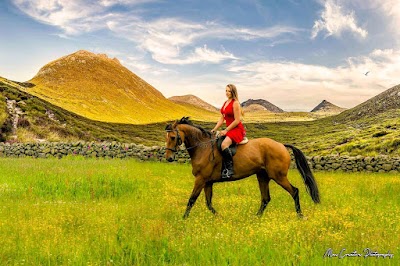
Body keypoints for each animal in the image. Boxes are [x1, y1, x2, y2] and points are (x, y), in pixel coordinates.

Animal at [164, 117, 320, 219]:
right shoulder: (207, 182)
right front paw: (219, 217)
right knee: (265, 198)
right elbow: (208, 203)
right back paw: (256, 217)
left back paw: (300, 216)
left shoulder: (200, 180)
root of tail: (281, 145)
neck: (203, 147)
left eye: (172, 137)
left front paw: (183, 219)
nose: (169, 158)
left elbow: (192, 200)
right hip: (262, 176)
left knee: (294, 191)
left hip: (278, 176)